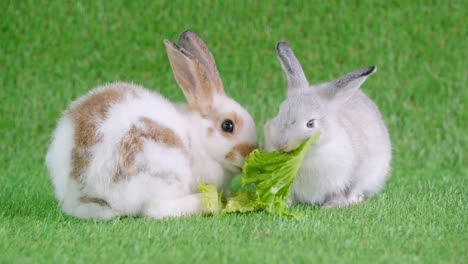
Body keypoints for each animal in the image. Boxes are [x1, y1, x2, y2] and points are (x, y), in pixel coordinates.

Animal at [45, 31, 258, 221]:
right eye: (228, 126)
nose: (250, 152)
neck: (198, 139)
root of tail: (81, 190)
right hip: (161, 170)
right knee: (156, 211)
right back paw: (206, 203)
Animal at [264, 41, 392, 208]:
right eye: (280, 111)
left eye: (310, 123)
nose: (280, 144)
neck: (306, 158)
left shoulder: (345, 179)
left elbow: (344, 191)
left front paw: (330, 206)